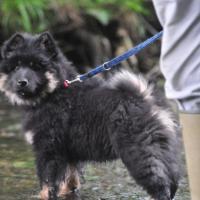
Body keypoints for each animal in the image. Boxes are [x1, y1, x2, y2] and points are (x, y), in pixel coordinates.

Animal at [0, 32, 180, 199]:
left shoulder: (48, 149)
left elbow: (47, 182)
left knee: (159, 183)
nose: (22, 82)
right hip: (162, 149)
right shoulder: (69, 154)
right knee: (172, 178)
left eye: (37, 66)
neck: (54, 92)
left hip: (138, 151)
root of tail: (144, 98)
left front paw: (45, 195)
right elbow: (69, 180)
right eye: (16, 67)